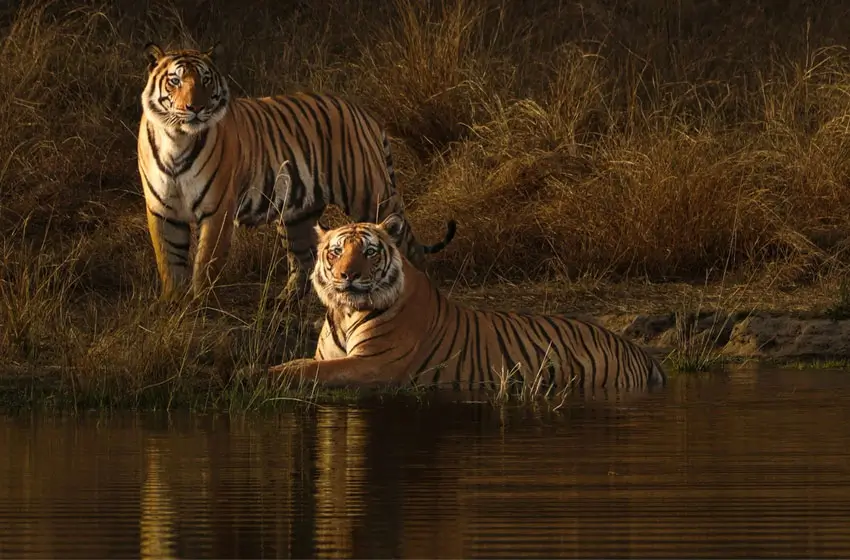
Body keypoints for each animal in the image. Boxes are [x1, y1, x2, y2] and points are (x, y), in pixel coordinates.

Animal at [137, 42, 456, 304]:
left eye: (205, 80)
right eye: (175, 81)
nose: (195, 108)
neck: (177, 139)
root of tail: (363, 112)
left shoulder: (217, 211)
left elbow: (205, 262)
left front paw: (200, 303)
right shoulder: (162, 210)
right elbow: (169, 260)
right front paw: (174, 304)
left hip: (371, 196)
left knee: (406, 245)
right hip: (296, 212)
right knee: (303, 259)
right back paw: (285, 300)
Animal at [267, 215, 668, 391]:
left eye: (369, 252)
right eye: (336, 252)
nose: (347, 275)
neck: (345, 311)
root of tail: (638, 350)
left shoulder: (373, 365)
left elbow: (307, 370)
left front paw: (258, 374)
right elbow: (303, 363)